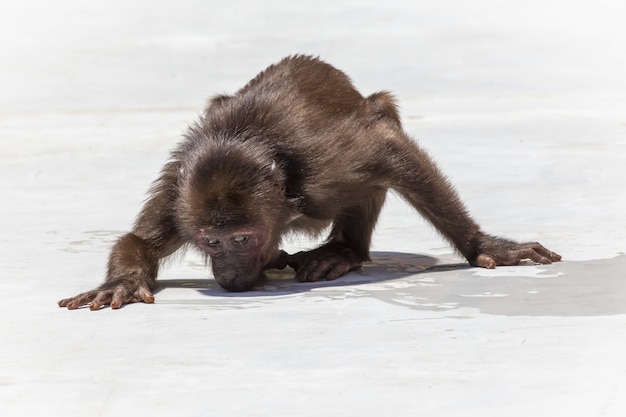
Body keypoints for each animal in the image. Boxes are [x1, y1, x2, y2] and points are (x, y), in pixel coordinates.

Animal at [56, 54, 560, 308]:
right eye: (212, 243)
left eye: (242, 240)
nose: (228, 276)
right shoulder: (179, 195)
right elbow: (139, 240)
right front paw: (122, 282)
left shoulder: (327, 166)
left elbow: (392, 151)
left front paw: (483, 244)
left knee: (381, 117)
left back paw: (343, 252)